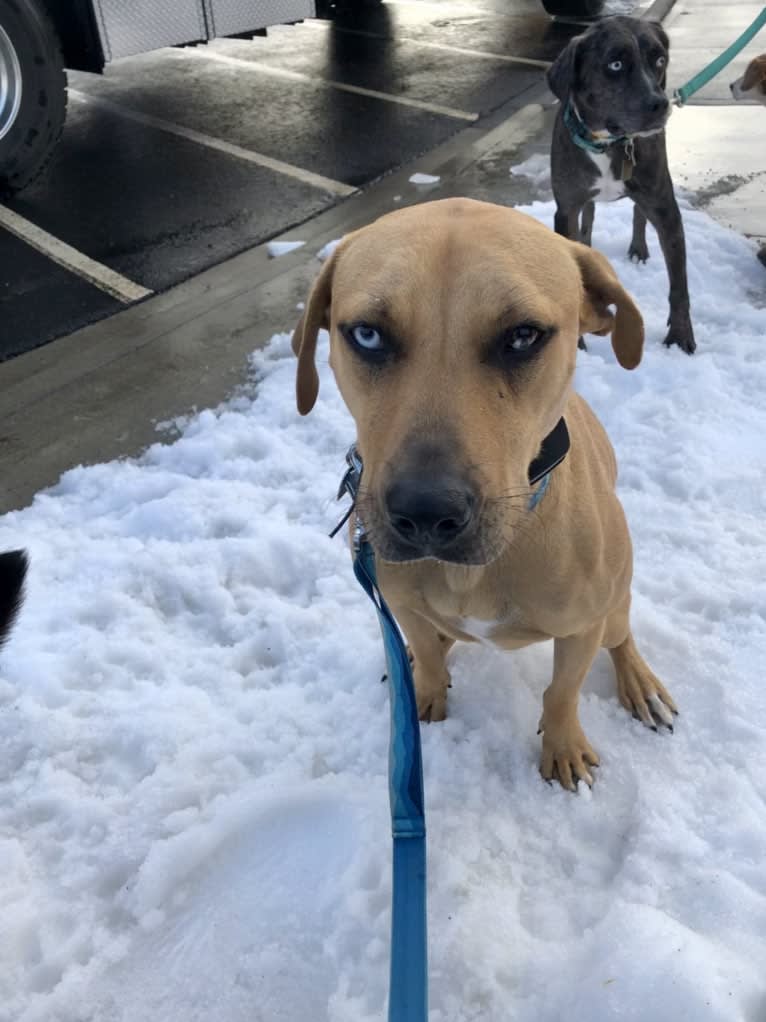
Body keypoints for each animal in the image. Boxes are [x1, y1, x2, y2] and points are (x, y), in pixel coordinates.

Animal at [294, 199, 678, 788]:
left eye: (523, 336)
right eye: (367, 335)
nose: (426, 513)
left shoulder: (581, 626)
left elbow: (562, 692)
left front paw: (563, 746)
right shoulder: (399, 599)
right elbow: (428, 654)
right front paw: (424, 693)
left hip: (613, 603)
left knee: (622, 635)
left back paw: (638, 681)